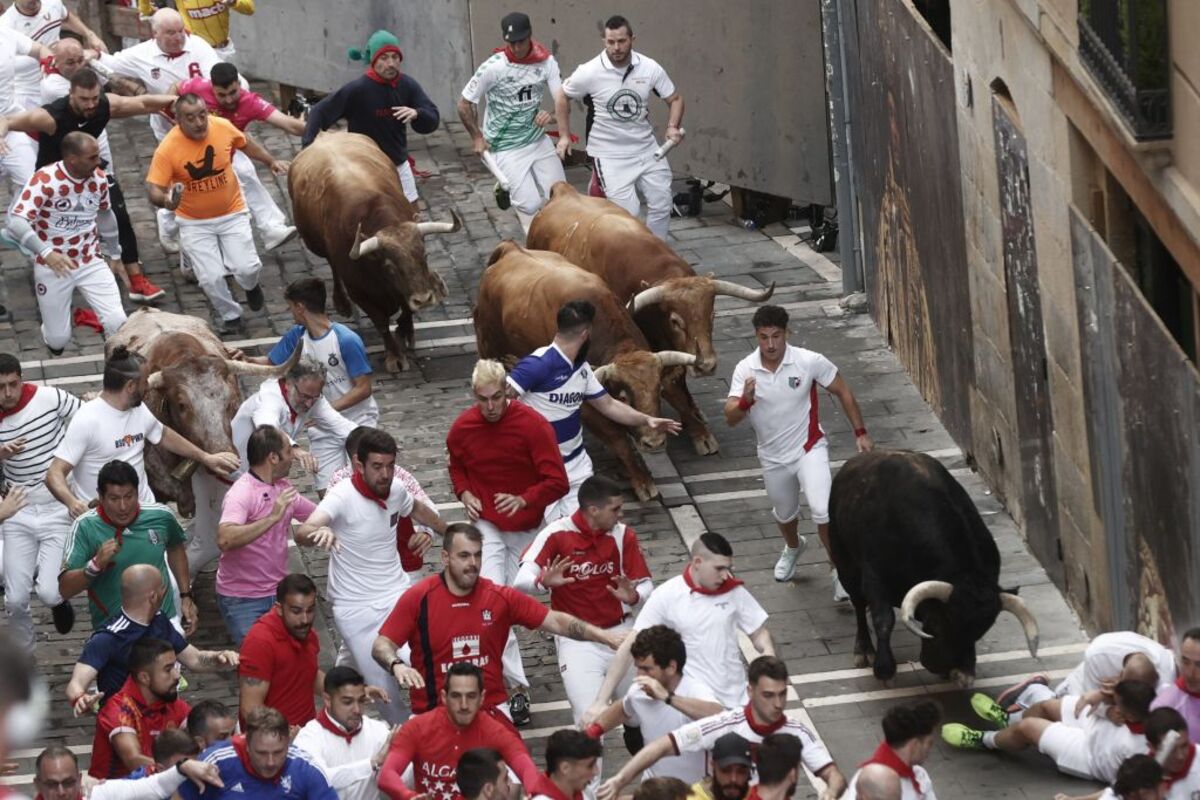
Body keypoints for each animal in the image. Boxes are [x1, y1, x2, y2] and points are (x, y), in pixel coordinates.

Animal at [288, 130, 460, 371]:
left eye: (424, 255)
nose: (424, 299)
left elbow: (406, 311)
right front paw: (394, 356)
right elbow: (381, 323)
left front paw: (406, 332)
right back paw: (341, 303)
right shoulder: (360, 292)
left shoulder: (404, 291)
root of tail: (324, 135)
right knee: (332, 265)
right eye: (389, 266)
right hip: (316, 244)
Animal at [470, 241, 696, 501]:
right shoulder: (586, 405)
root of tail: (511, 249)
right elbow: (618, 439)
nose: (654, 442)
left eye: (658, 391)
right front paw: (642, 480)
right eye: (623, 397)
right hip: (488, 347)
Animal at [528, 182, 772, 455]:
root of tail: (563, 190)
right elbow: (671, 389)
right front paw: (700, 433)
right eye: (676, 321)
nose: (707, 365)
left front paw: (695, 416)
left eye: (712, 314)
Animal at [825, 450, 1041, 690]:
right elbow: (883, 619)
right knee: (858, 604)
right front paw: (885, 670)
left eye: (981, 630)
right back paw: (863, 650)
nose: (943, 667)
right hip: (845, 564)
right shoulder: (875, 578)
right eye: (939, 623)